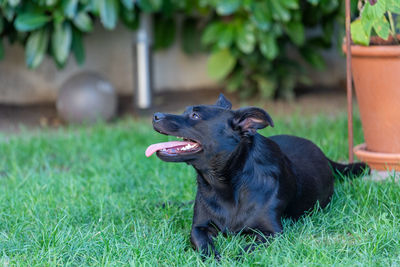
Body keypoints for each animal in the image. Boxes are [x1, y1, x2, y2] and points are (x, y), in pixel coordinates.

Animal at [146, 94, 366, 260]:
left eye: (195, 115)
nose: (155, 115)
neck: (226, 185)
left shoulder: (270, 233)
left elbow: (247, 249)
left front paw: (233, 259)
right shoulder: (199, 227)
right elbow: (204, 245)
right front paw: (214, 258)